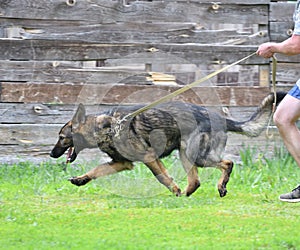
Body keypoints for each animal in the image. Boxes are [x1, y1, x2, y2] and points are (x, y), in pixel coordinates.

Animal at [51, 92, 286, 197]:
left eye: (61, 137)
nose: (51, 154)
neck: (106, 127)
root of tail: (220, 118)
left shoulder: (148, 158)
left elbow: (162, 177)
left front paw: (173, 188)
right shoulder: (122, 163)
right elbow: (97, 170)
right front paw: (81, 180)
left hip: (196, 156)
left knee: (227, 163)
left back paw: (217, 186)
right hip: (186, 155)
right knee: (196, 181)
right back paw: (185, 196)